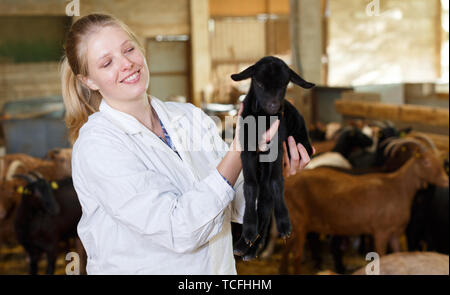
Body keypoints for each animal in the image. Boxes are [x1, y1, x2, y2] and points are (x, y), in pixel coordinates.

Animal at [232, 56, 312, 260]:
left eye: (284, 84)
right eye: (259, 83)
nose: (273, 106)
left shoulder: (277, 148)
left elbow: (276, 183)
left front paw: (284, 223)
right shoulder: (246, 150)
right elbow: (250, 187)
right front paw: (248, 228)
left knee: (266, 202)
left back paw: (253, 248)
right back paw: (244, 245)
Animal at [284, 140, 448, 274]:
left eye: (440, 162)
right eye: (426, 162)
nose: (446, 181)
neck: (398, 188)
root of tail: (288, 182)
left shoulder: (395, 233)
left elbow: (397, 252)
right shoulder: (381, 231)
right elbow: (381, 255)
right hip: (299, 223)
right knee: (296, 254)